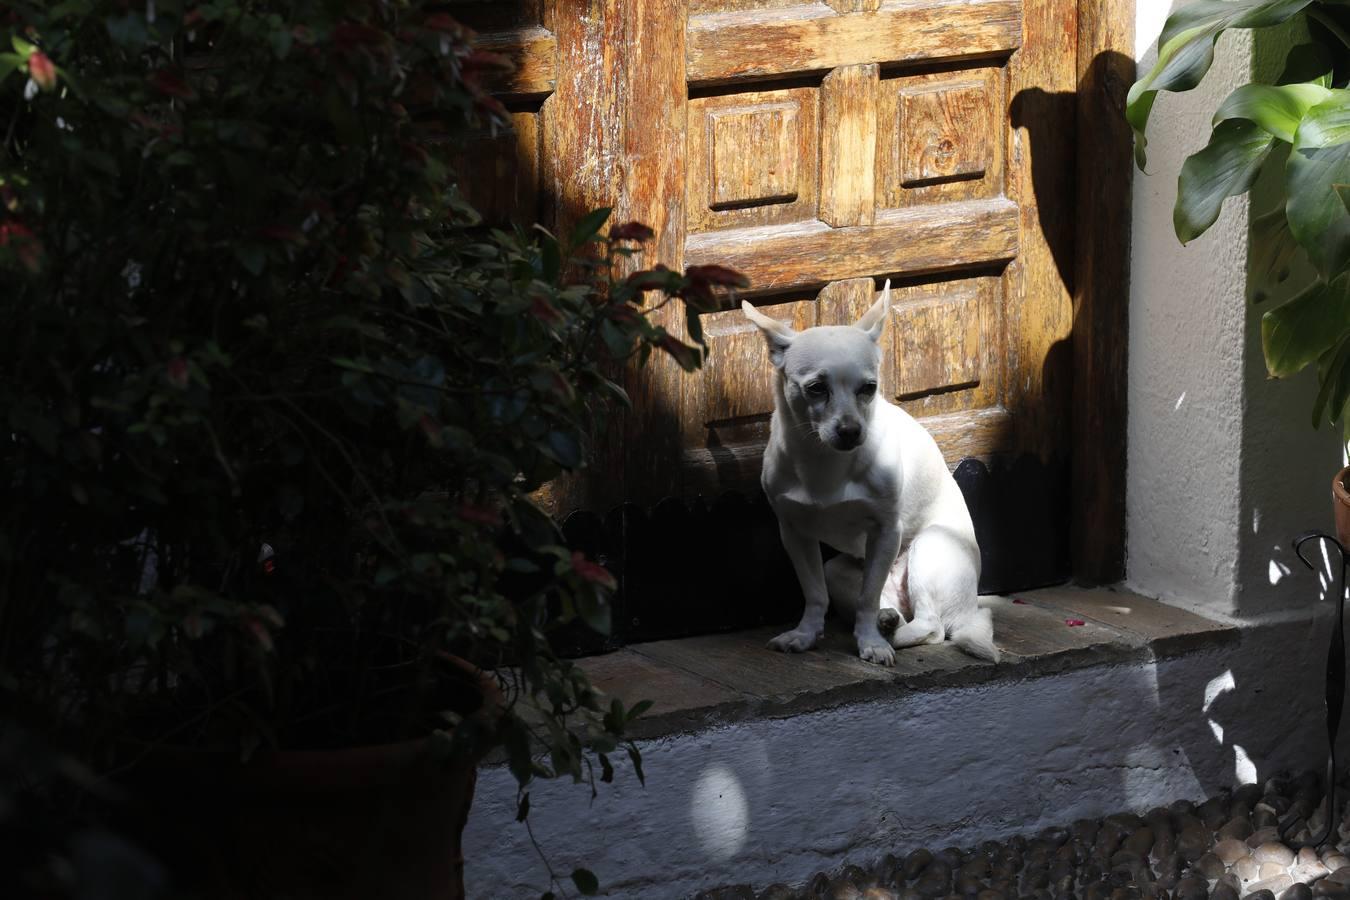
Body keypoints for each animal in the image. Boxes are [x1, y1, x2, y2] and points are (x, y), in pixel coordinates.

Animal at [745, 282, 999, 669]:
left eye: (869, 388)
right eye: (816, 388)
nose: (851, 430)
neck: (826, 461)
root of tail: (970, 609)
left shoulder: (885, 531)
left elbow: (866, 600)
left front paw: (871, 644)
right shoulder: (794, 533)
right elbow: (815, 593)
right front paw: (806, 635)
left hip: (930, 548)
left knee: (930, 626)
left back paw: (890, 633)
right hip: (839, 570)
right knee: (886, 605)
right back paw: (888, 619)